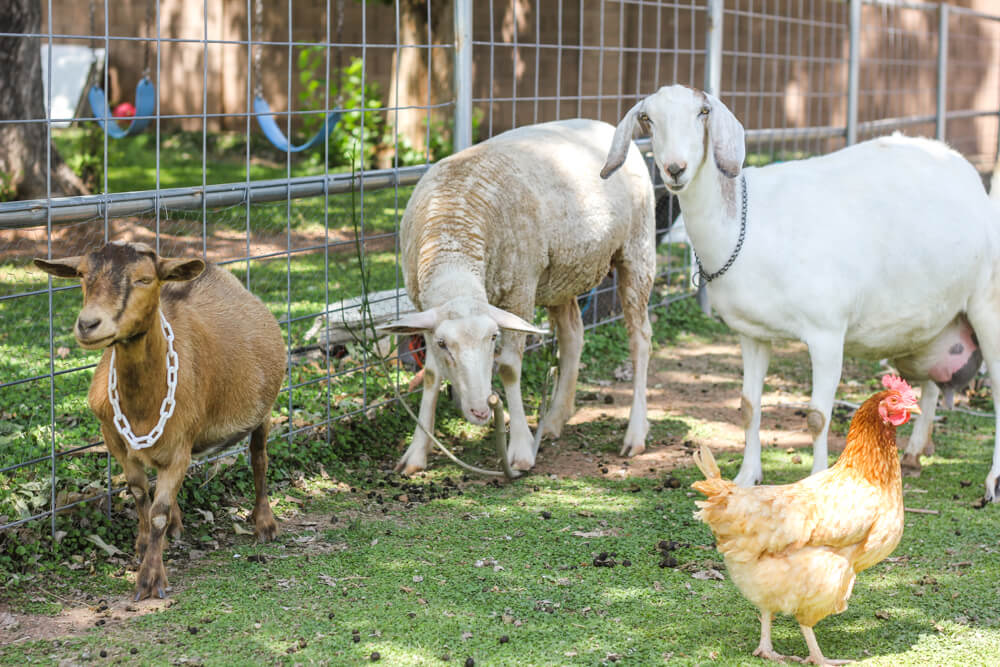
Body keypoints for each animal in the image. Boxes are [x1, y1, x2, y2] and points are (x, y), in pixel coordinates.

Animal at [34, 243, 286, 604]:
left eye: (144, 279)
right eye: (82, 275)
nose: (88, 324)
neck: (142, 407)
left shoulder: (181, 445)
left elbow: (158, 512)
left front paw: (151, 579)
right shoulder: (114, 439)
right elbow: (141, 494)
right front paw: (143, 546)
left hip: (264, 411)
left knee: (260, 459)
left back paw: (264, 524)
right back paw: (178, 528)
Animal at [380, 120, 656, 474]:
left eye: (493, 337)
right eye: (443, 344)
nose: (481, 411)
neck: (452, 241)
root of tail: (607, 125)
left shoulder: (520, 291)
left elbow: (510, 368)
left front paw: (521, 450)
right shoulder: (425, 313)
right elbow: (430, 376)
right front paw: (416, 453)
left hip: (637, 249)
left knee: (640, 339)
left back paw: (635, 433)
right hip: (562, 275)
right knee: (573, 336)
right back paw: (553, 420)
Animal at [596, 83, 1000, 500]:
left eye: (702, 113)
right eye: (647, 118)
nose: (675, 169)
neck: (749, 226)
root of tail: (963, 168)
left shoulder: (827, 334)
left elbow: (817, 417)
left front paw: (818, 480)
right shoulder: (751, 334)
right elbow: (748, 406)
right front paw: (746, 477)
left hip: (987, 302)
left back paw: (991, 482)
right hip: (935, 324)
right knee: (932, 385)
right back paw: (916, 452)